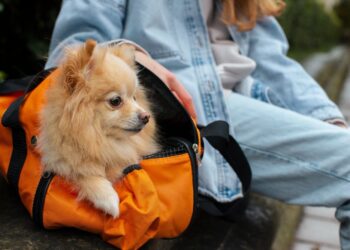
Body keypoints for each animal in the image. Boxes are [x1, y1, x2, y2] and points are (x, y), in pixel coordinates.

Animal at [37, 39, 160, 217]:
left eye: (135, 98)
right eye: (116, 101)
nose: (146, 117)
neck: (98, 138)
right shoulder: (57, 159)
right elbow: (82, 173)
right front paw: (108, 198)